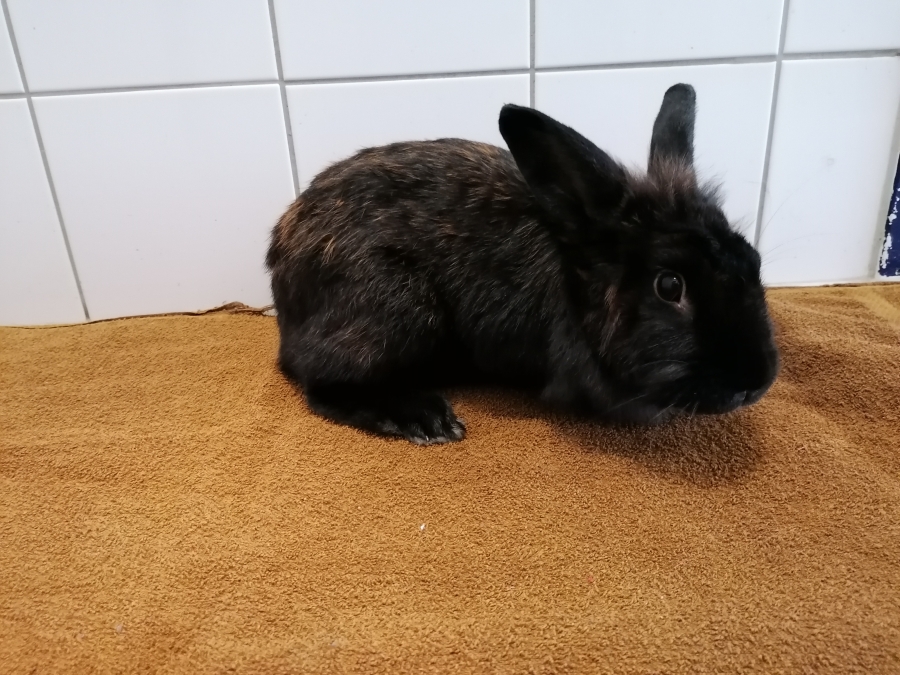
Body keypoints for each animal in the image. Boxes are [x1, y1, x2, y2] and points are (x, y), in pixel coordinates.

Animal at [266, 83, 779, 445]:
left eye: (752, 259)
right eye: (669, 286)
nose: (756, 383)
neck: (576, 277)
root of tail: (281, 268)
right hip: (397, 310)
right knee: (323, 384)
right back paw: (425, 418)